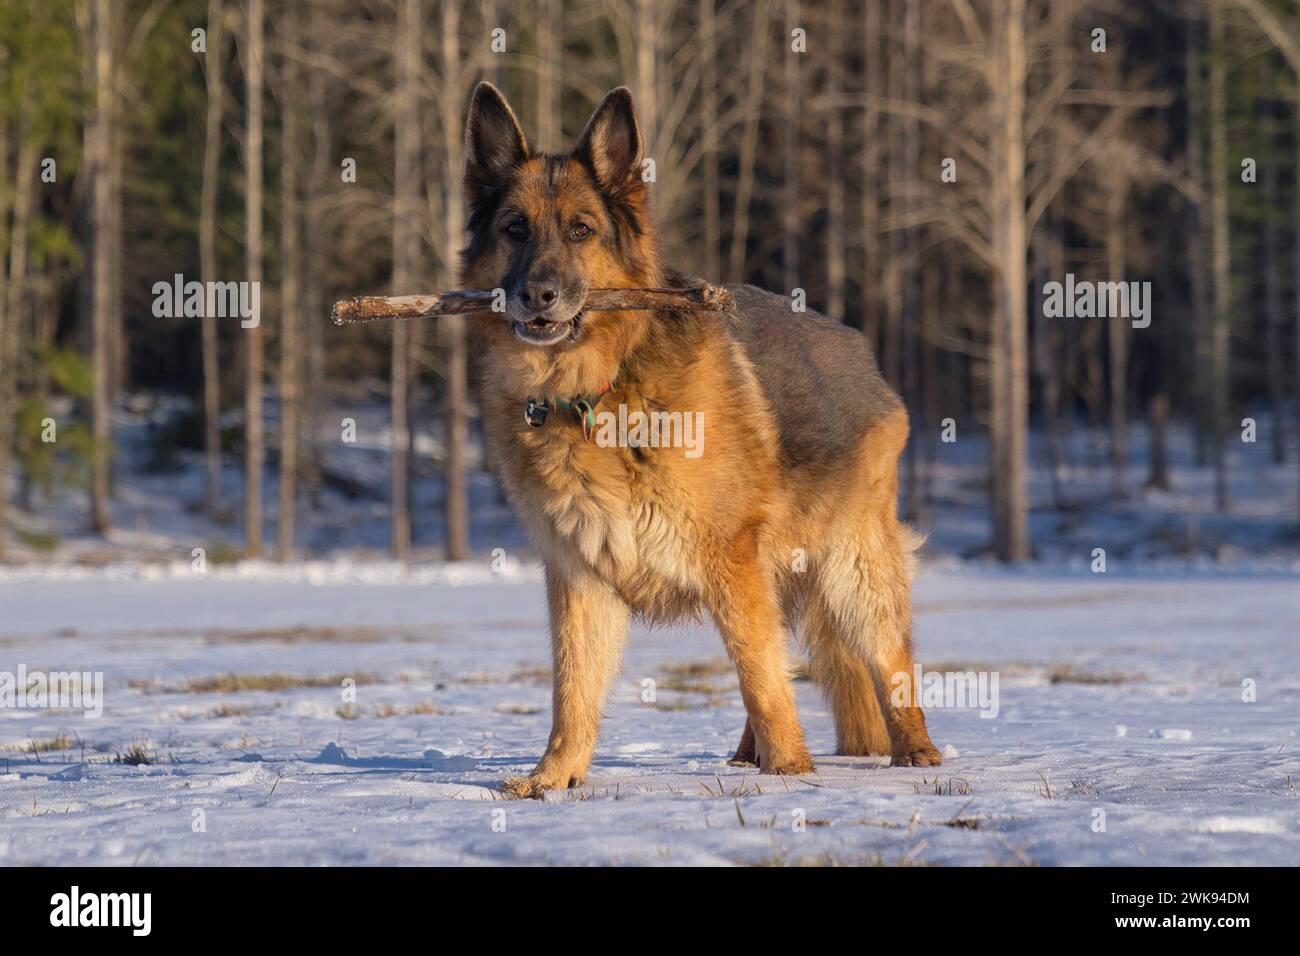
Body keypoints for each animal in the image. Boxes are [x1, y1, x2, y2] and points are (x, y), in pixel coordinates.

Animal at [462, 83, 941, 801]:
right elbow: (572, 691)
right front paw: (553, 779)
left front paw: (792, 773)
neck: (599, 387)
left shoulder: (728, 561)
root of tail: (864, 354)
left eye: (581, 230)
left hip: (852, 571)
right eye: (514, 229)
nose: (536, 295)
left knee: (887, 662)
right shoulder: (579, 575)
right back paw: (746, 756)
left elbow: (761, 676)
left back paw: (913, 751)